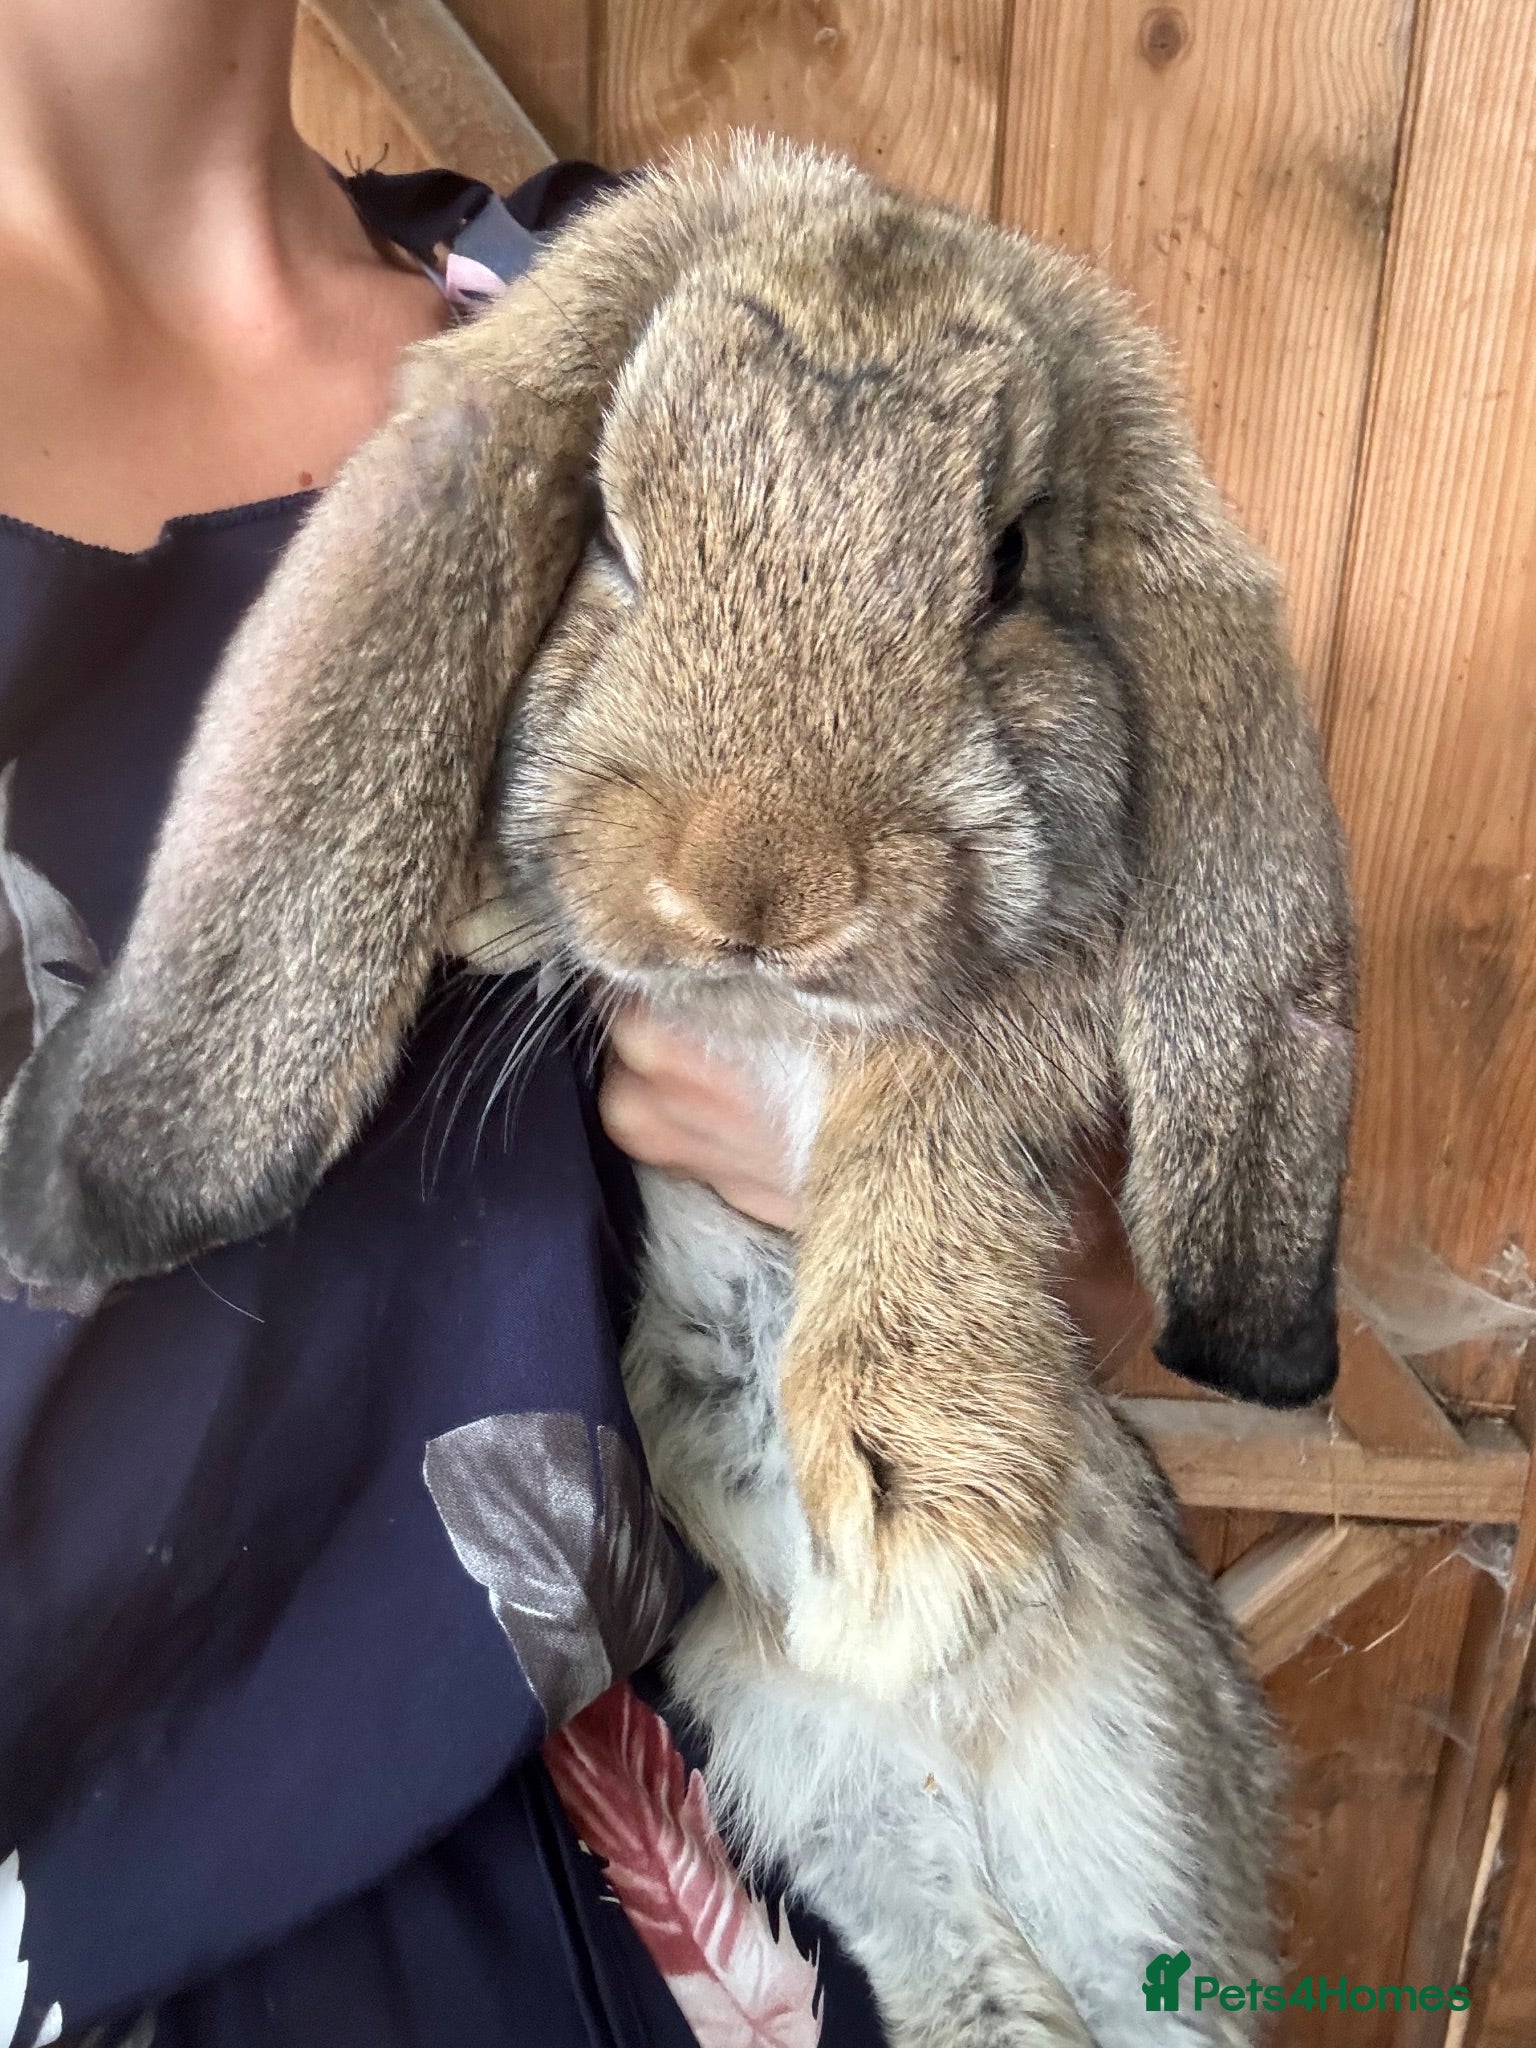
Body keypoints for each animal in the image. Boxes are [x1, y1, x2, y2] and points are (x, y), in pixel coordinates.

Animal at [0, 135, 1354, 2040]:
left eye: (1008, 564)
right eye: (614, 535)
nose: (754, 883)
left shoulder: (1022, 1001)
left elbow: (935, 1110)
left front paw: (914, 1497)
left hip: (1134, 1838)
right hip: (852, 1816)